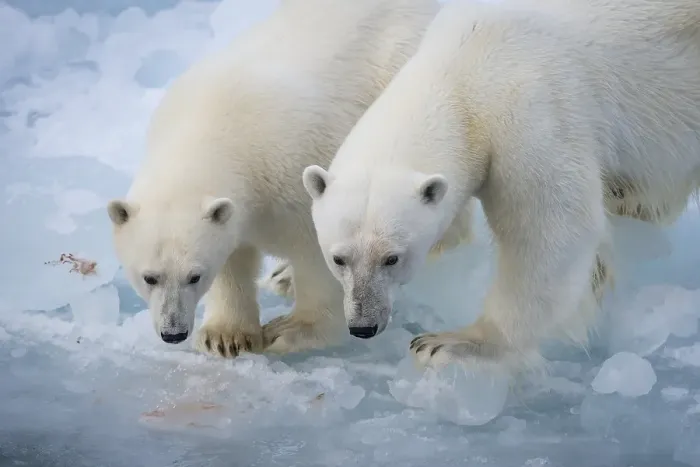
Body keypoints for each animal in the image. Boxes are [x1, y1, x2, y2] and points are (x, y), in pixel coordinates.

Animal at [106, 0, 475, 358]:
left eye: (194, 276)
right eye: (149, 277)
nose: (173, 333)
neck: (214, 127)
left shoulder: (293, 170)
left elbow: (317, 251)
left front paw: (290, 330)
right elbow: (233, 255)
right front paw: (224, 336)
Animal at [302, 0, 700, 372]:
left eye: (392, 258)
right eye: (339, 258)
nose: (363, 326)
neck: (465, 64)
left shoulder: (530, 110)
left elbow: (551, 227)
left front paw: (454, 341)